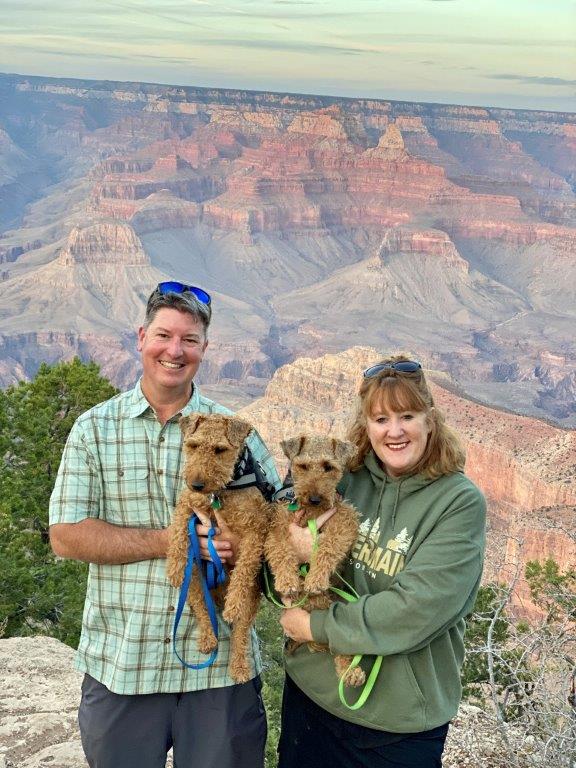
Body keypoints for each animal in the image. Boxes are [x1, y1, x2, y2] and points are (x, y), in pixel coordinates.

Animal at [166, 414, 272, 684]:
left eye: (220, 449)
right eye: (192, 445)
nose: (197, 483)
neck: (223, 490)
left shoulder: (255, 531)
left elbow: (244, 568)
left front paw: (234, 601)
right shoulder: (188, 503)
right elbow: (178, 529)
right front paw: (173, 567)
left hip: (251, 601)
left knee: (240, 635)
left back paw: (239, 667)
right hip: (195, 578)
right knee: (202, 610)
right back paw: (207, 640)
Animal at [264, 436, 362, 688]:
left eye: (329, 466)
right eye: (303, 466)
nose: (315, 498)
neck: (310, 513)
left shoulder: (345, 519)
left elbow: (329, 545)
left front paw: (316, 578)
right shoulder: (277, 527)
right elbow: (280, 550)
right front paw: (287, 580)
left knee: (337, 642)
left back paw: (353, 673)